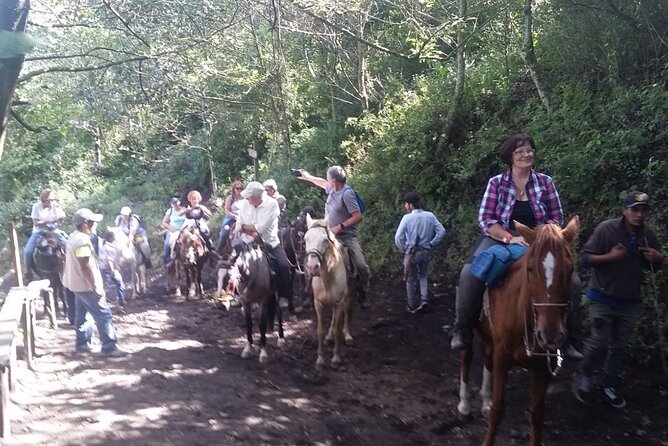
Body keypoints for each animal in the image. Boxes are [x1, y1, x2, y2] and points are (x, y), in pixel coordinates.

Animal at [302, 215, 358, 366]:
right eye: (305, 239)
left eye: (325, 240)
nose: (312, 267)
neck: (327, 277)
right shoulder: (318, 304)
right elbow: (320, 331)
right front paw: (320, 359)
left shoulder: (339, 303)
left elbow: (338, 331)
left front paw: (336, 358)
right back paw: (329, 336)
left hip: (349, 296)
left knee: (348, 312)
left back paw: (348, 336)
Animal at [460, 216, 580, 446]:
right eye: (530, 269)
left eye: (570, 269)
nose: (550, 335)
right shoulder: (503, 357)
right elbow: (498, 410)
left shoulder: (543, 366)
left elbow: (537, 414)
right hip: (470, 331)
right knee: (466, 356)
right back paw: (464, 404)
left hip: (491, 340)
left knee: (486, 359)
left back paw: (485, 400)